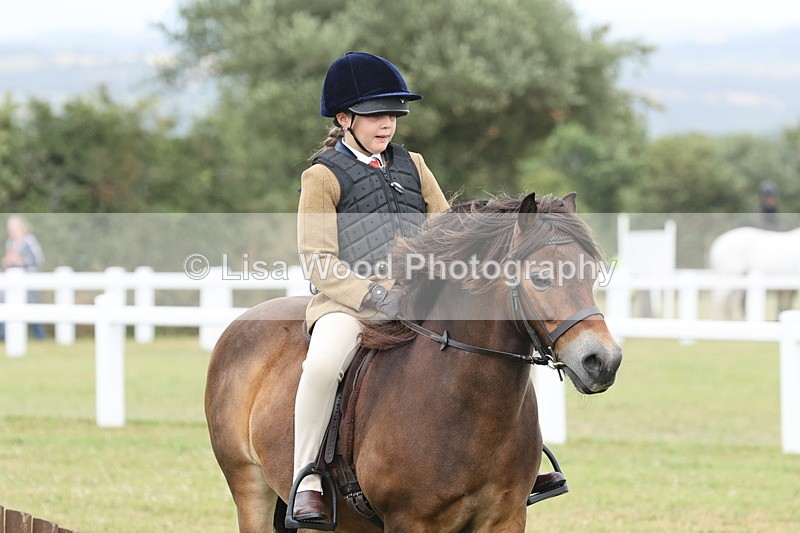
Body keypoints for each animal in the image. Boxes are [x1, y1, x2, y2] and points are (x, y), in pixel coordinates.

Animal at [205, 192, 623, 532]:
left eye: (592, 275)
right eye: (540, 279)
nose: (603, 361)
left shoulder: (505, 518)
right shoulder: (410, 521)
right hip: (250, 489)